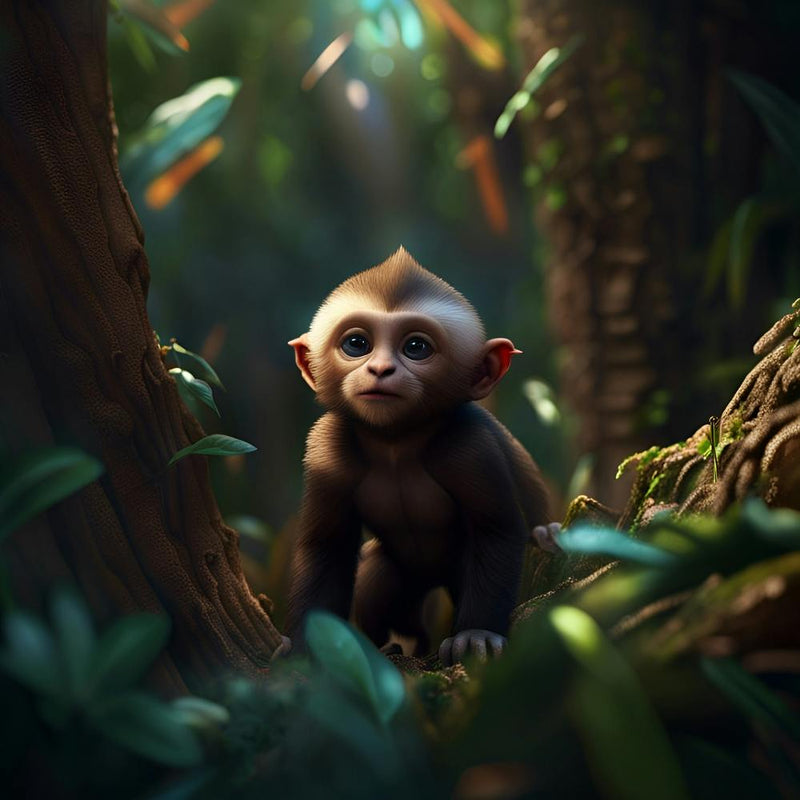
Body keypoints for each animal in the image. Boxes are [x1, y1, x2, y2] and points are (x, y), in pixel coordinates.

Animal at [285, 247, 559, 665]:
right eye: (356, 344)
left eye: (416, 347)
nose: (380, 369)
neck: (395, 445)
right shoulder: (327, 451)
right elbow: (326, 548)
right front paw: (305, 647)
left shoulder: (468, 448)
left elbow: (496, 530)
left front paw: (476, 633)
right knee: (378, 585)